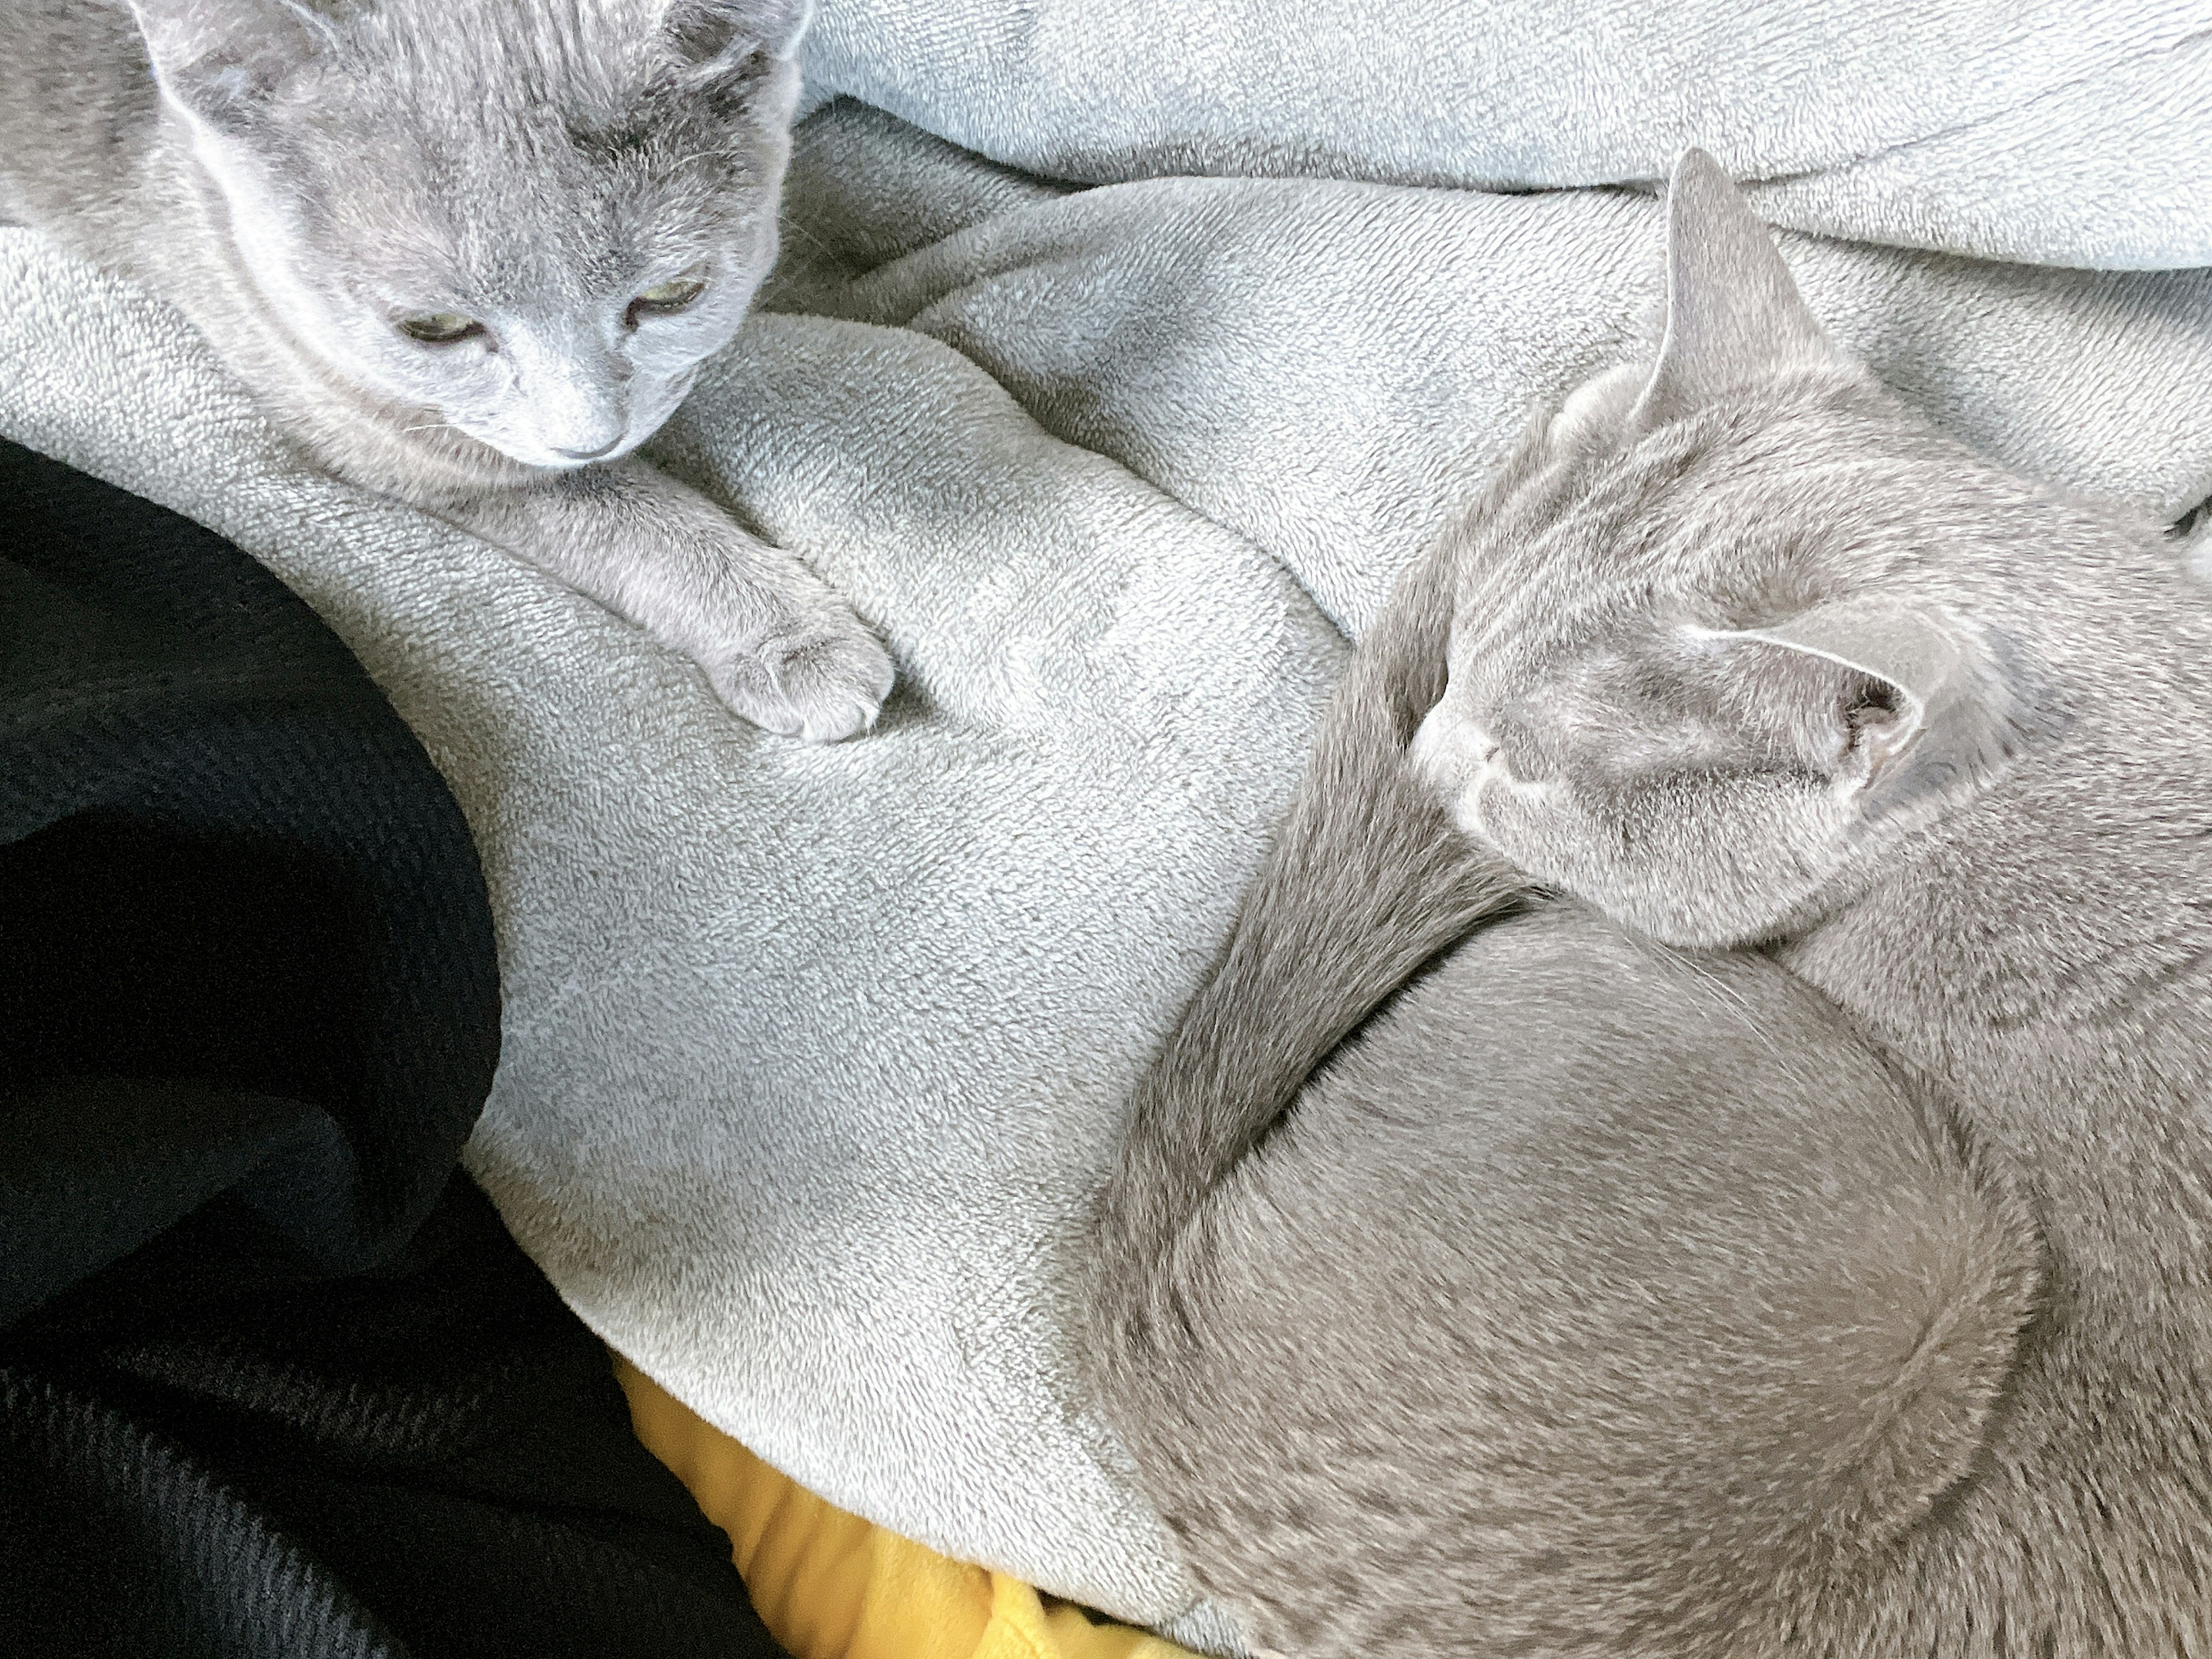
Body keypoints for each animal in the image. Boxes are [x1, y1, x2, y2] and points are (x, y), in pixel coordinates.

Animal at [6, 0, 898, 738]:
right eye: (433, 328)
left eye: (673, 294)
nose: (589, 437)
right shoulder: (384, 433)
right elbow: (610, 514)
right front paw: (792, 639)